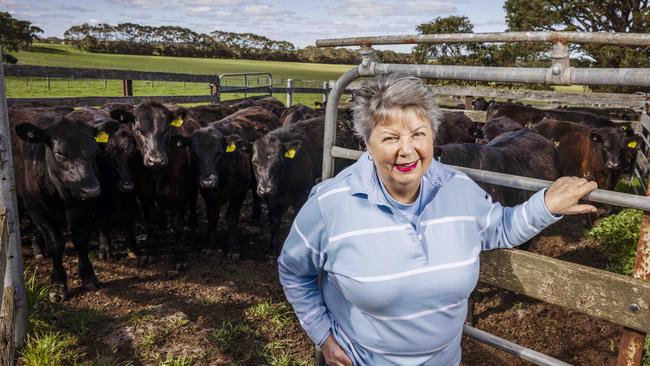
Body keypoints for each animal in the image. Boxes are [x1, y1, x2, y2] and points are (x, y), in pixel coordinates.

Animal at [11, 113, 119, 300]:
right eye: (59, 153)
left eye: (95, 151)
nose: (91, 189)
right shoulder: (37, 208)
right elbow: (55, 243)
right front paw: (58, 284)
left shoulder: (85, 209)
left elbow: (80, 240)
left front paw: (89, 277)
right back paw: (38, 250)